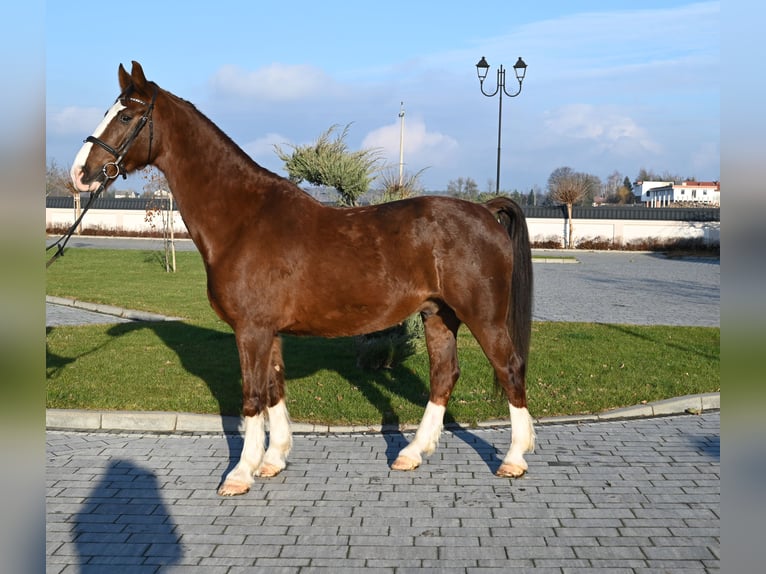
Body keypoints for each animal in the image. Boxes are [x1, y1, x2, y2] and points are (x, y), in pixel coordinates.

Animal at [73, 62, 540, 496]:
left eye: (127, 116)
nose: (81, 173)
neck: (243, 219)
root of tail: (484, 211)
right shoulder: (268, 331)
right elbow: (274, 389)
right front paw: (273, 460)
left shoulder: (251, 330)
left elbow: (252, 396)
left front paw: (240, 474)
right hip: (438, 315)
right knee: (444, 375)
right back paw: (411, 452)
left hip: (484, 317)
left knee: (510, 368)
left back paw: (514, 458)